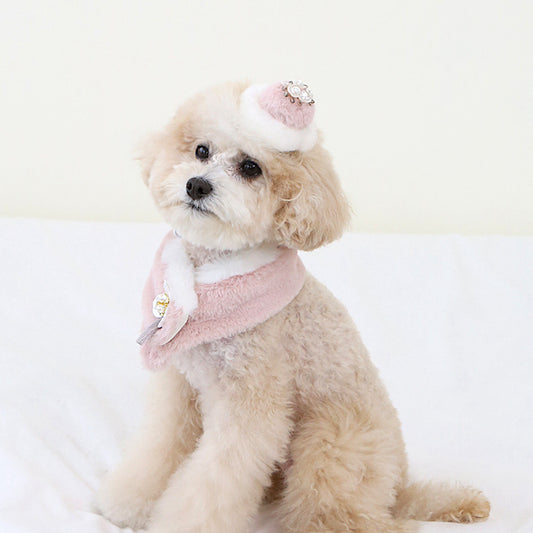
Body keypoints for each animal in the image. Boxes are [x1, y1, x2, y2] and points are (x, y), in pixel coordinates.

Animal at [96, 80, 490, 532]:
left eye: (251, 168)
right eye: (200, 150)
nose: (196, 185)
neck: (209, 275)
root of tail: (399, 489)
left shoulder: (252, 405)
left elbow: (214, 483)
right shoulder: (182, 391)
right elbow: (159, 449)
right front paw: (128, 504)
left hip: (331, 443)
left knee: (347, 516)